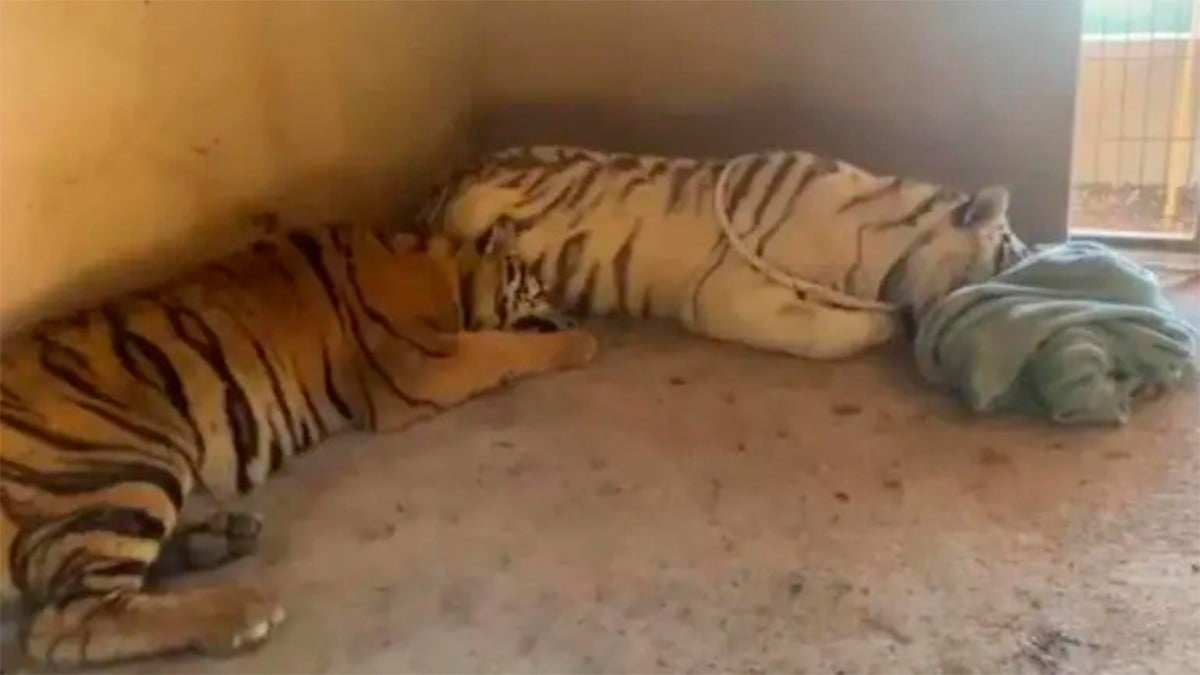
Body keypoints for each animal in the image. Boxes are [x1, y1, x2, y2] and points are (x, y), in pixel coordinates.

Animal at [0, 220, 597, 668]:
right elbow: (501, 348)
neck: (445, 271)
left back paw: (224, 536)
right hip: (124, 466)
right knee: (68, 620)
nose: (570, 313)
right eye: (539, 288)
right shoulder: (416, 365)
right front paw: (582, 343)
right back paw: (241, 612)